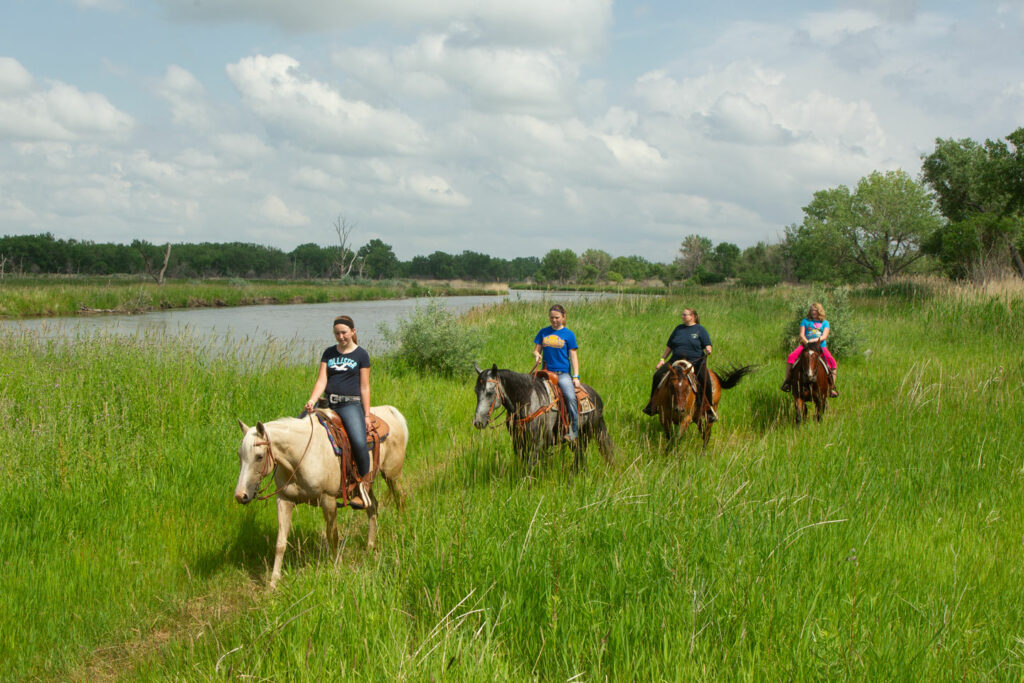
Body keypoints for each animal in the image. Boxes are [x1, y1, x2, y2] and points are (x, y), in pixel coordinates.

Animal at [473, 362, 614, 471]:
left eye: (490, 392)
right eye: (476, 391)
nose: (478, 422)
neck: (528, 401)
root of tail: (596, 396)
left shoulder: (538, 444)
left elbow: (528, 468)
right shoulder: (518, 443)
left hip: (585, 435)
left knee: (579, 458)